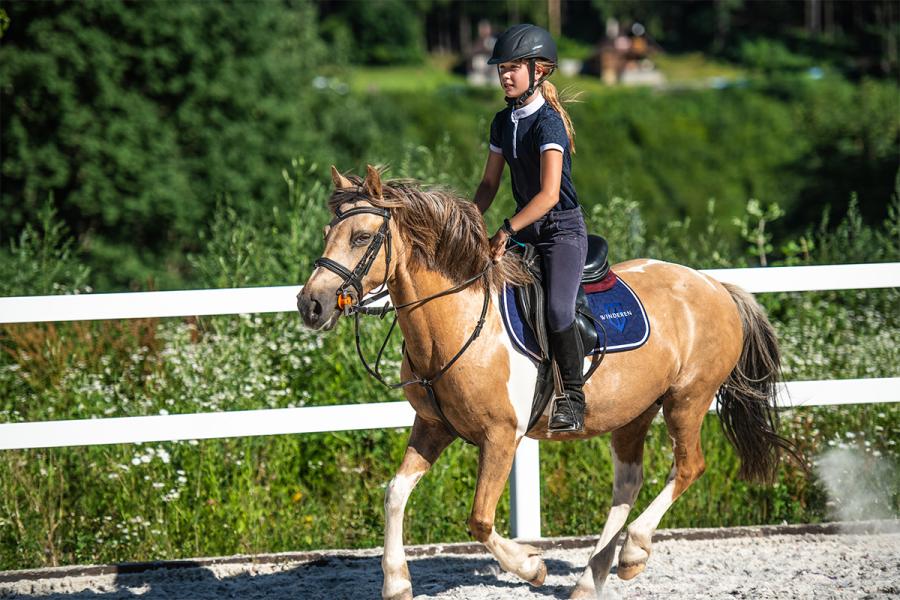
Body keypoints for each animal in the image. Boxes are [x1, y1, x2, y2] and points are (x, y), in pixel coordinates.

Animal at [296, 165, 797, 600]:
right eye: (326, 234)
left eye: (361, 237)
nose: (310, 305)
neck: (457, 322)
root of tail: (714, 285)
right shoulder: (433, 426)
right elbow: (395, 493)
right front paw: (397, 584)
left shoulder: (501, 437)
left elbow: (480, 519)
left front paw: (531, 566)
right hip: (634, 411)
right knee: (627, 485)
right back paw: (589, 582)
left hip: (686, 400)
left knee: (689, 467)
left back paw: (633, 554)